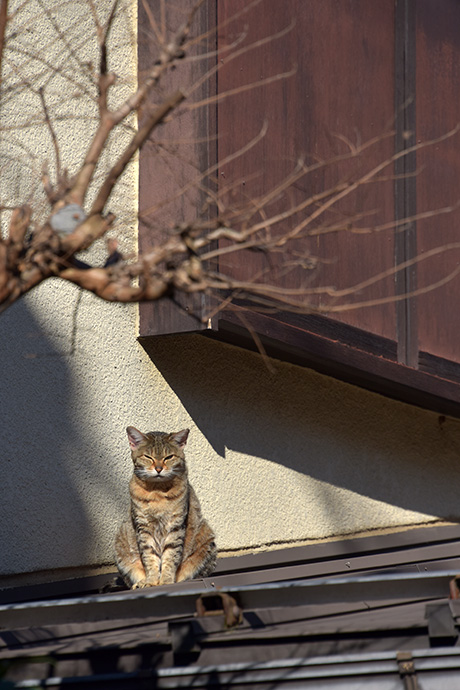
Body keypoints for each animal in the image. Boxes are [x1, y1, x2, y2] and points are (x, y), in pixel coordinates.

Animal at [114, 424, 217, 584]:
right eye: (148, 457)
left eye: (169, 457)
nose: (158, 468)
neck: (158, 491)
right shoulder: (143, 527)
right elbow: (149, 557)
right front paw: (151, 581)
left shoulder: (175, 526)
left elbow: (171, 556)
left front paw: (166, 580)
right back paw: (140, 583)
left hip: (207, 541)